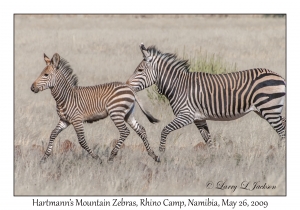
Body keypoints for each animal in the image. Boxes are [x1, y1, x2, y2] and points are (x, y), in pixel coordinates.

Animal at [31, 53, 161, 163]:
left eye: (46, 75)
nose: (32, 88)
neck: (66, 97)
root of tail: (130, 88)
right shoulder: (64, 120)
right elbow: (53, 134)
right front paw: (43, 158)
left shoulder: (77, 120)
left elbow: (82, 141)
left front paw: (97, 158)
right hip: (128, 114)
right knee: (141, 130)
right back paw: (154, 156)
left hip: (116, 113)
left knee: (125, 132)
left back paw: (111, 157)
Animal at [126, 43, 286, 152]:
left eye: (140, 70)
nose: (126, 85)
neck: (178, 86)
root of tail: (279, 76)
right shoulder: (199, 119)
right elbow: (208, 141)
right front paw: (214, 160)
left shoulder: (186, 115)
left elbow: (165, 130)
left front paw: (162, 154)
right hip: (266, 110)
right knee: (283, 125)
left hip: (269, 108)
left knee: (281, 130)